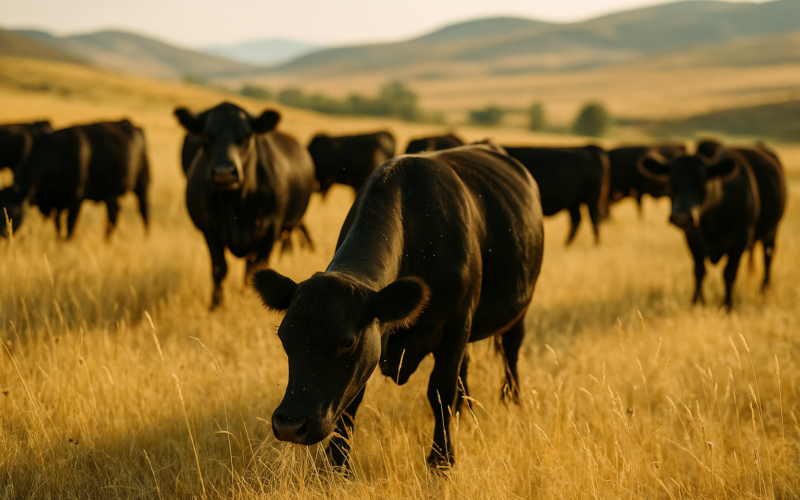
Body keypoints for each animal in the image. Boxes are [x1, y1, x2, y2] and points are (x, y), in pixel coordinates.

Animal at [0, 120, 149, 239]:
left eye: (14, 212)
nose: (4, 234)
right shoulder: (57, 204)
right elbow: (58, 227)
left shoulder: (76, 203)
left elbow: (70, 229)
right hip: (110, 195)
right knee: (113, 215)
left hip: (142, 185)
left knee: (144, 212)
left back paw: (145, 238)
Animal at [174, 102, 315, 310]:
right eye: (207, 135)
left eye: (246, 135)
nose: (224, 173)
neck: (235, 205)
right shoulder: (210, 230)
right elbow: (219, 268)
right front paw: (216, 305)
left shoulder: (270, 230)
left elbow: (254, 269)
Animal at [252, 143, 544, 470]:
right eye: (284, 336)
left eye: (346, 342)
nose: (289, 425)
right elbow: (352, 402)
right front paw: (337, 465)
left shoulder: (457, 323)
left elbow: (440, 389)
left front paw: (441, 460)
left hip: (519, 308)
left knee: (510, 352)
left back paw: (512, 401)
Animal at [639, 146, 786, 309]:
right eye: (672, 182)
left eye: (702, 182)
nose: (681, 217)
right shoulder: (692, 239)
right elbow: (699, 271)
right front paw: (697, 302)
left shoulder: (740, 238)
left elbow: (729, 273)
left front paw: (727, 305)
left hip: (772, 231)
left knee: (768, 256)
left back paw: (764, 288)